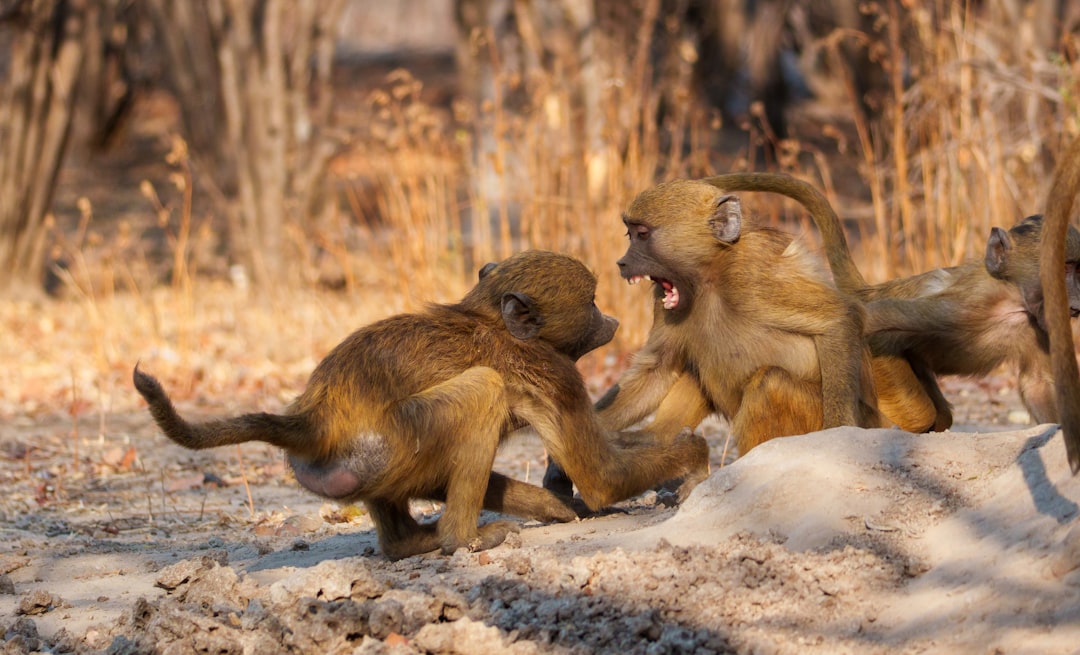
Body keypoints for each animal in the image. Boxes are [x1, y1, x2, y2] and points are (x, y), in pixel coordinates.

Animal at [134, 250, 710, 561]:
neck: (490, 318)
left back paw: (410, 544)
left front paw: (551, 503)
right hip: (395, 436)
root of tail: (313, 420)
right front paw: (694, 457)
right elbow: (600, 476)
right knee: (483, 389)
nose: (611, 320)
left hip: (373, 462)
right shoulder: (553, 373)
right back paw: (462, 540)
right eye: (590, 301)